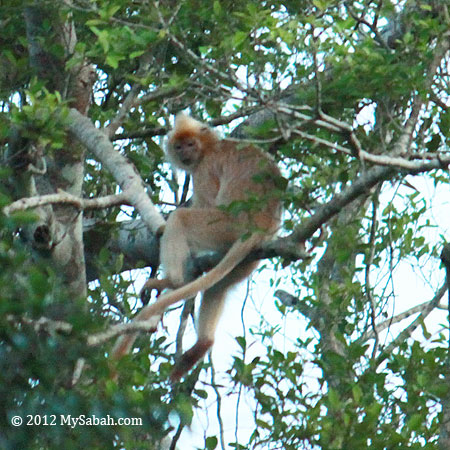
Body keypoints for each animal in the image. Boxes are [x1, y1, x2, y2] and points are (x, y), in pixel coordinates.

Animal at [111, 113, 284, 380]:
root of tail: (261, 224)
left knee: (181, 218)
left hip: (225, 226)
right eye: (179, 146)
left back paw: (173, 281)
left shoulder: (204, 170)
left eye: (191, 144)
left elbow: (207, 202)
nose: (185, 153)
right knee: (220, 284)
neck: (209, 148)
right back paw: (203, 343)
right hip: (250, 256)